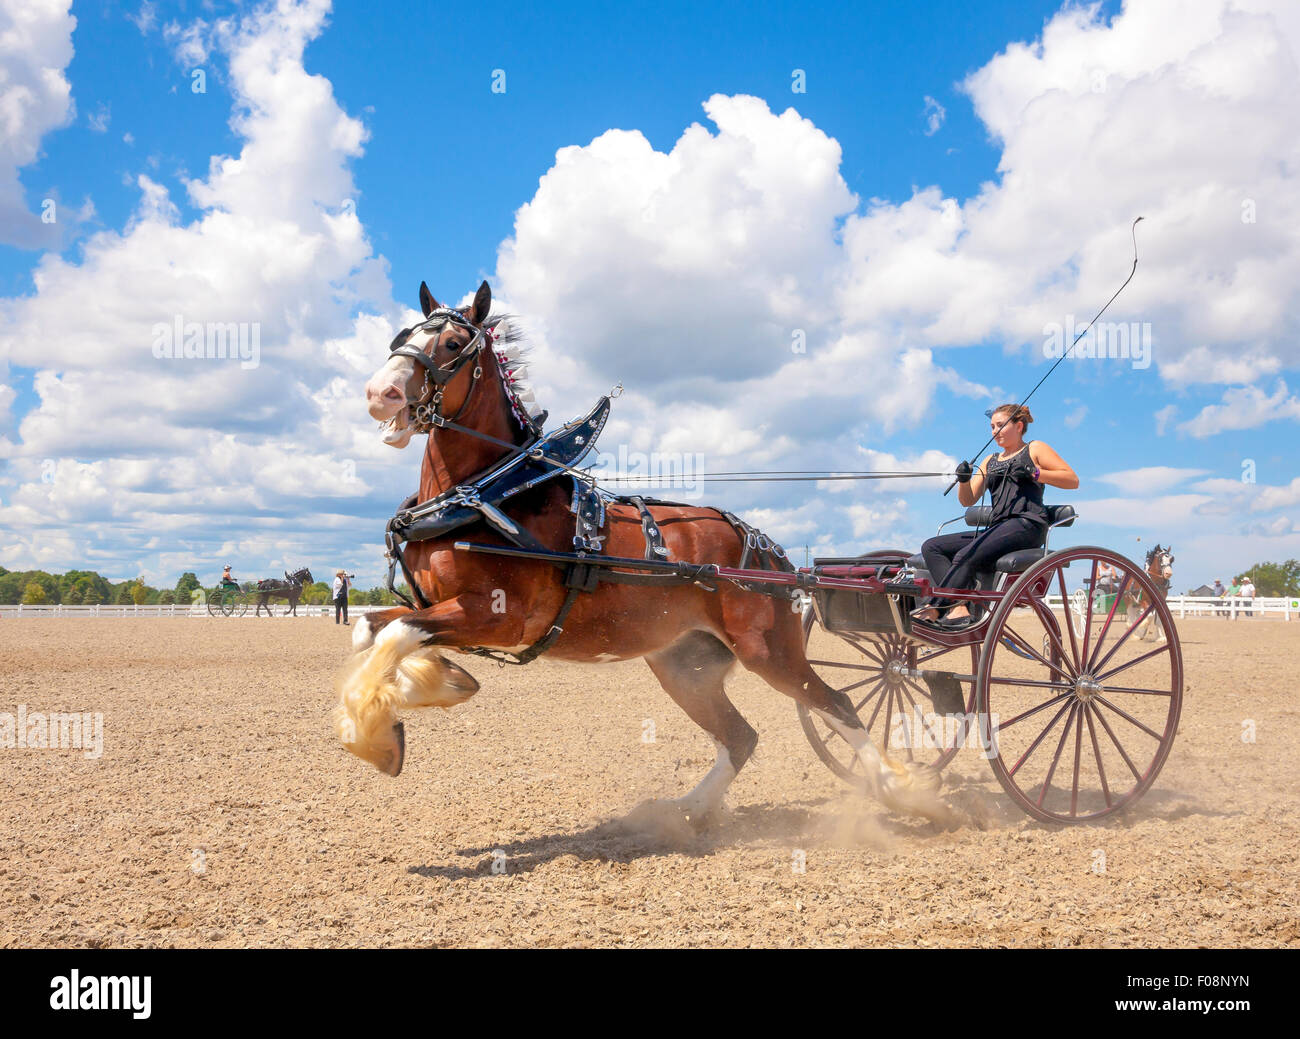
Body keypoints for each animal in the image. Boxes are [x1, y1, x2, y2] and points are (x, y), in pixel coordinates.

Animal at [333, 279, 955, 826]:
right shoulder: (439, 609)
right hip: (684, 667)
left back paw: (903, 792)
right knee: (741, 737)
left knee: (839, 708)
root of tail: (770, 551)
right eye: (400, 336)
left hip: (770, 652)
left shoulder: (498, 615)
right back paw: (686, 813)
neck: (490, 495)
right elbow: (371, 631)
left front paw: (379, 729)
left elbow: (395, 634)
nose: (379, 393)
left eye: (452, 345)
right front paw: (427, 687)